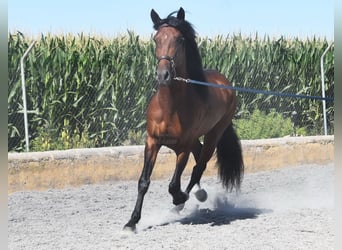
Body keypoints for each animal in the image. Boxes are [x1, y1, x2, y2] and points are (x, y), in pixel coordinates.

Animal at [123, 6, 243, 231]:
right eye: (156, 38)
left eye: (179, 39)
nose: (163, 75)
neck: (169, 107)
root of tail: (225, 83)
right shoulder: (152, 142)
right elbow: (143, 182)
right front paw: (131, 223)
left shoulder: (182, 149)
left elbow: (173, 185)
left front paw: (180, 198)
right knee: (198, 158)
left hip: (214, 134)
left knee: (199, 166)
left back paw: (190, 198)